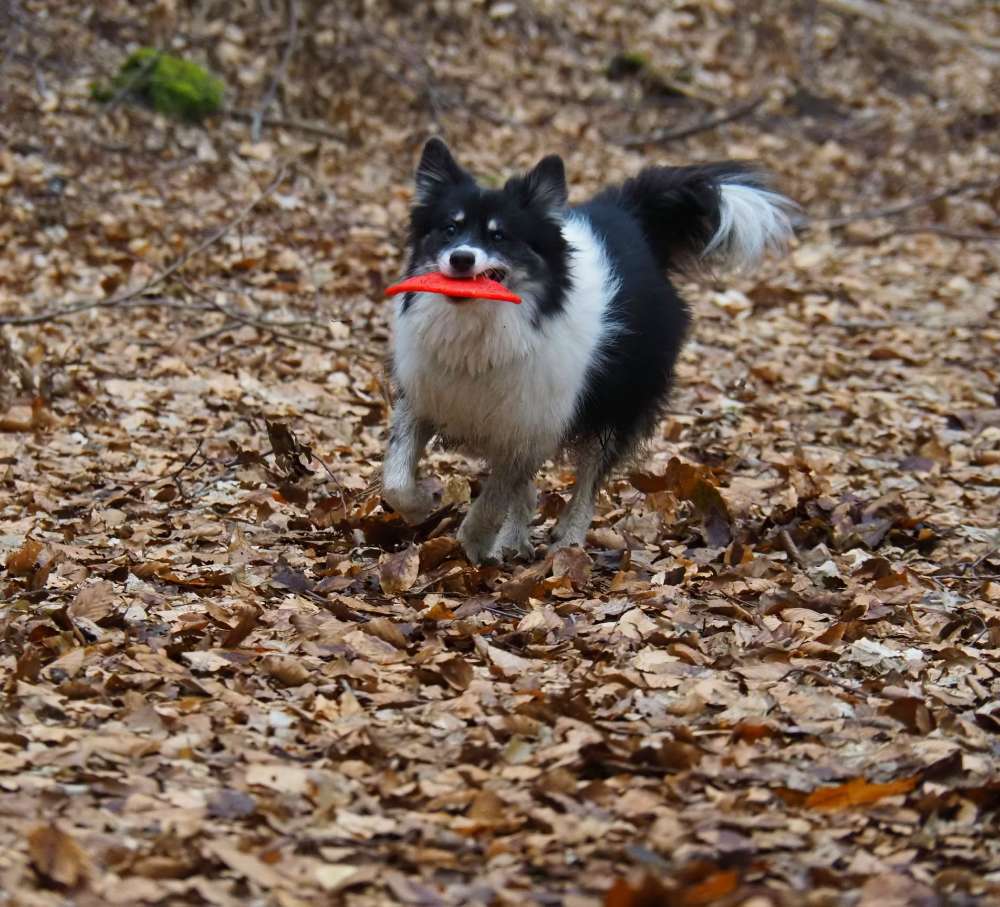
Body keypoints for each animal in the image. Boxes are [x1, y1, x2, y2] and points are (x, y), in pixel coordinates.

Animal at [382, 138, 796, 564]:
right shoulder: (426, 398)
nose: (461, 257)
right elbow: (396, 483)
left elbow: (495, 497)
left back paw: (567, 541)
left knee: (588, 483)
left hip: (617, 405)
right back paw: (515, 540)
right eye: (449, 229)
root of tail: (632, 214)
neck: (482, 327)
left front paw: (473, 542)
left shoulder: (532, 424)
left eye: (500, 237)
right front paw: (423, 503)